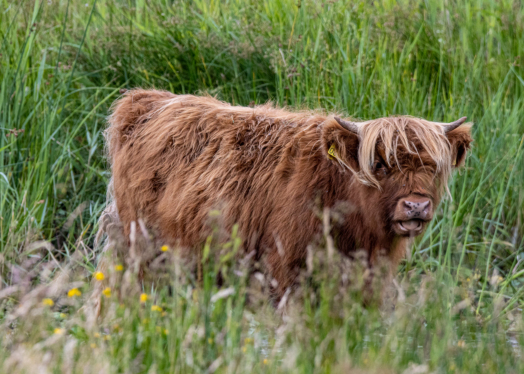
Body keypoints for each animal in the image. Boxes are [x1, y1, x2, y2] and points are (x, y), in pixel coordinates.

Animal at [104, 89, 472, 302]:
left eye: (433, 167)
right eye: (380, 165)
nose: (416, 205)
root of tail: (147, 98)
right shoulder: (285, 272)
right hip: (141, 249)